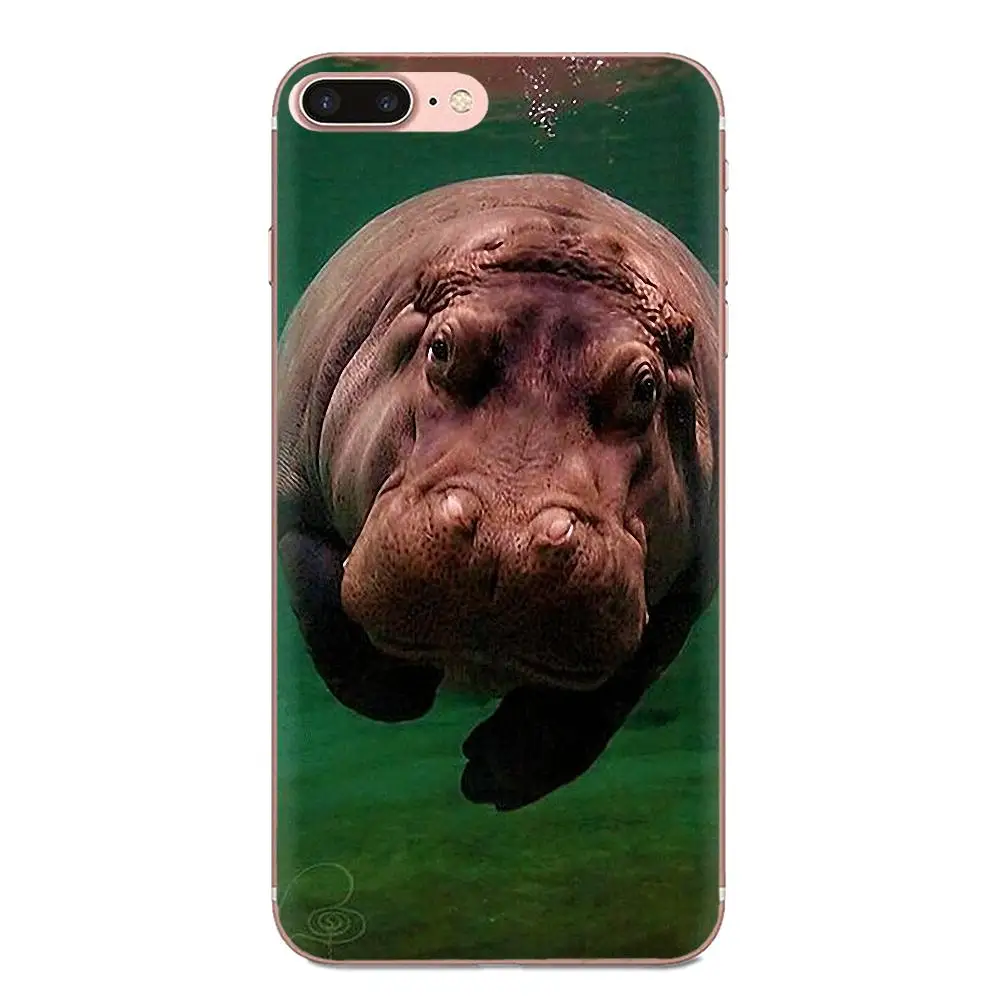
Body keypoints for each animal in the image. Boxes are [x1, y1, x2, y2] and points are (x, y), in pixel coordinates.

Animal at [277, 174, 720, 811]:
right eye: (441, 348)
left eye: (645, 388)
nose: (503, 540)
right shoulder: (295, 508)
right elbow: (323, 608)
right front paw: (407, 685)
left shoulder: (691, 585)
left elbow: (604, 696)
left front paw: (491, 780)